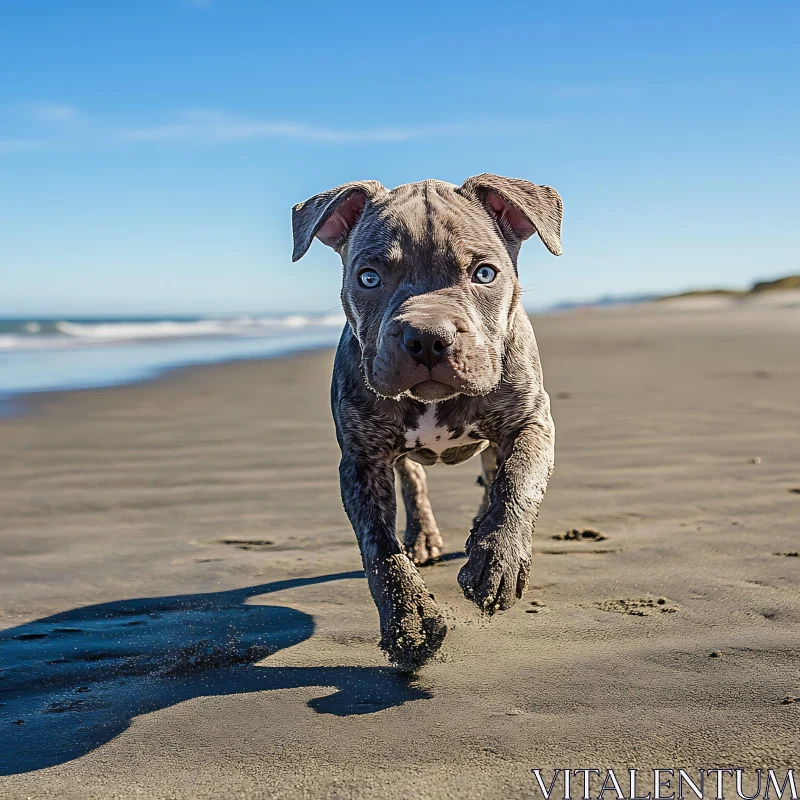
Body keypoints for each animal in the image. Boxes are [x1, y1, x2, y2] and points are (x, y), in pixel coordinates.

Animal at [290, 173, 560, 668]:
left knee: (492, 472)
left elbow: (518, 481)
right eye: (369, 277)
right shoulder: (362, 459)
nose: (429, 337)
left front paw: (497, 560)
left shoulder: (531, 422)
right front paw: (409, 621)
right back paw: (422, 537)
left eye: (485, 273)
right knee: (413, 481)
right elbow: (378, 545)